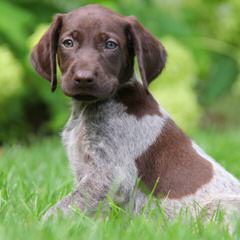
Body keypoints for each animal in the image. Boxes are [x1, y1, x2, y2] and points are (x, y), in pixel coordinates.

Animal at [30, 4, 240, 224]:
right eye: (68, 43)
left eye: (110, 45)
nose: (84, 78)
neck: (88, 109)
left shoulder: (111, 174)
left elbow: (63, 207)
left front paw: (36, 225)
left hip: (218, 208)